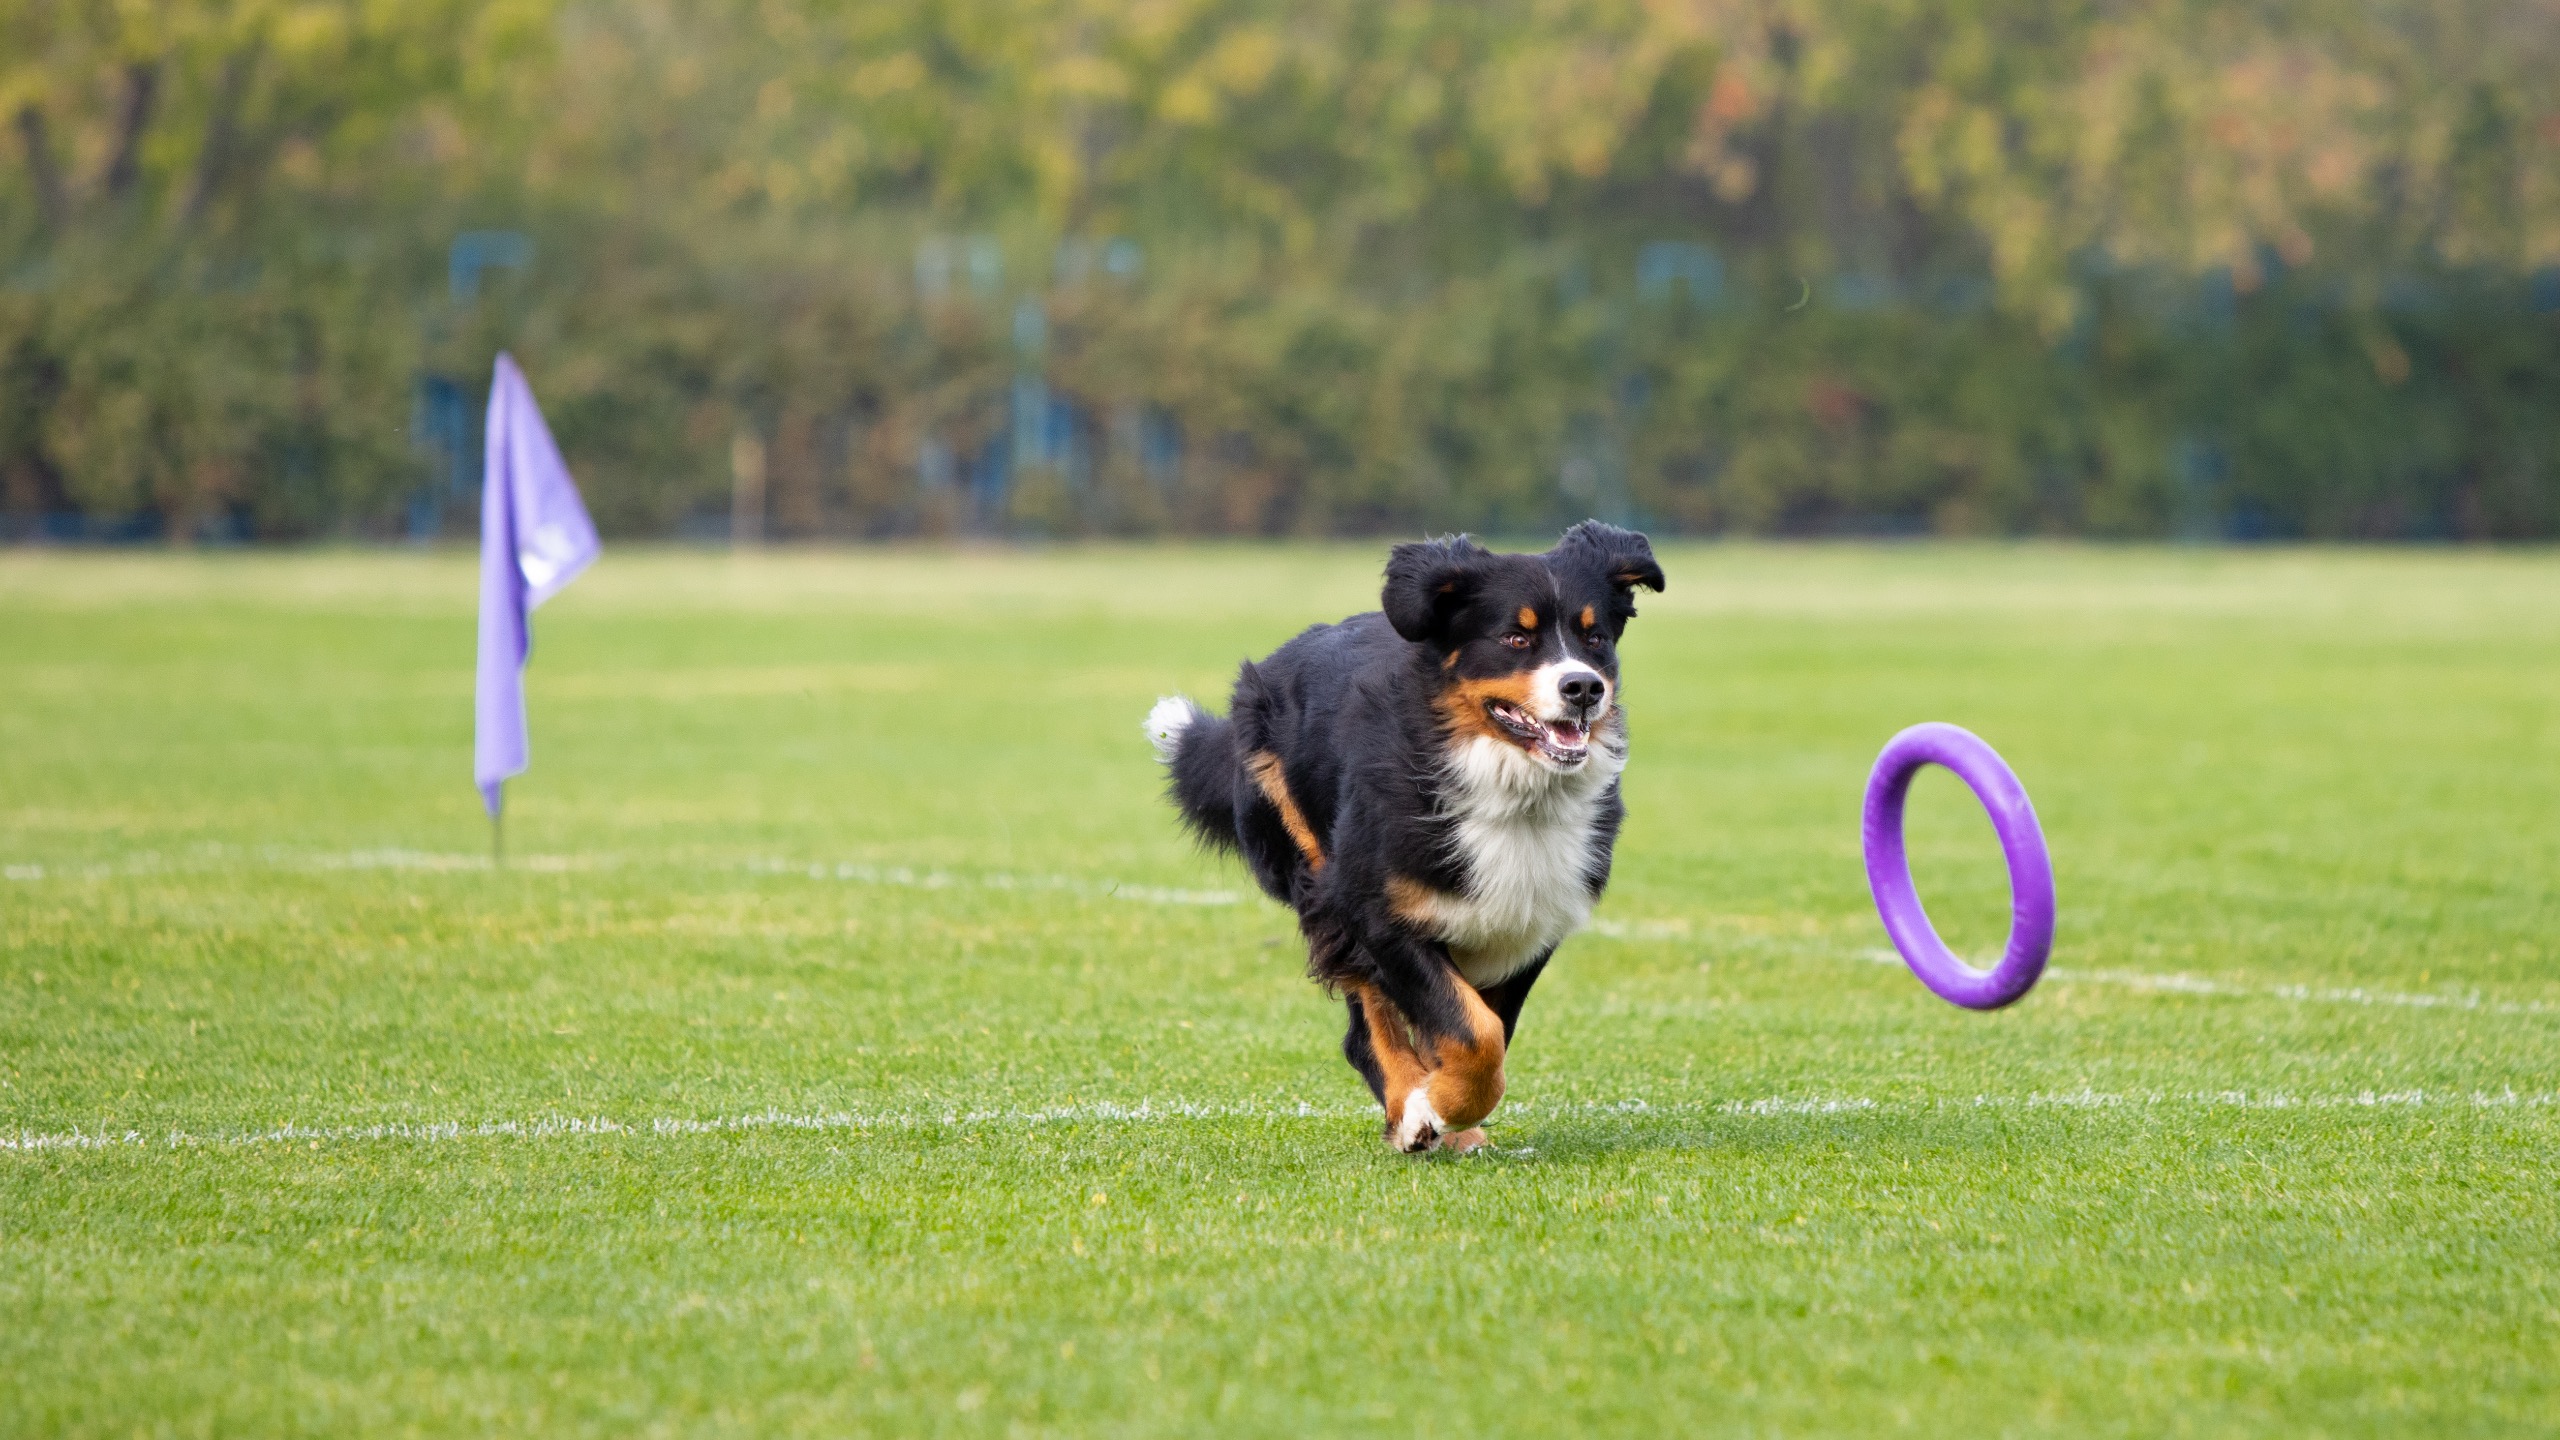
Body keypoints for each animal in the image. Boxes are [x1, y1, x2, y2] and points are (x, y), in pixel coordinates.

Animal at [1152, 520, 1669, 1147]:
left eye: (1595, 638)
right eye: (1515, 639)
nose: (1584, 688)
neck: (1510, 788)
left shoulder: (1529, 922)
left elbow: (1482, 1029)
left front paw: (1454, 1111)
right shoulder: (1379, 911)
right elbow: (1474, 1032)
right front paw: (1433, 1107)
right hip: (1319, 877)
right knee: (1367, 1022)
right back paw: (1408, 1105)